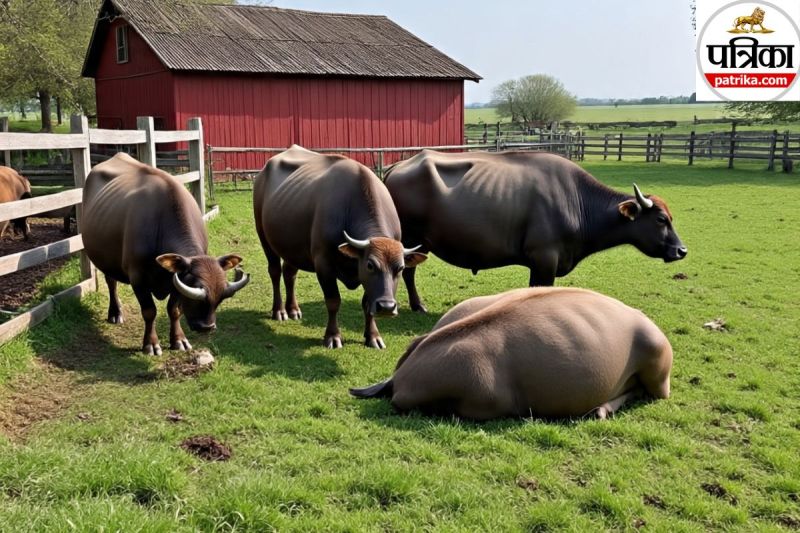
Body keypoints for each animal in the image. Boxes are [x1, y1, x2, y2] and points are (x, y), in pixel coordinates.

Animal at [82, 153, 250, 355]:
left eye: (220, 299)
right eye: (195, 298)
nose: (206, 327)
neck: (160, 226)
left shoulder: (176, 280)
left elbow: (174, 310)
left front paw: (179, 340)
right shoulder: (138, 278)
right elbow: (149, 312)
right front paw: (151, 344)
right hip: (106, 260)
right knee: (111, 283)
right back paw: (116, 313)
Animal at [253, 145, 427, 349]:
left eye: (400, 268)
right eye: (370, 265)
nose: (386, 307)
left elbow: (367, 304)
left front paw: (373, 336)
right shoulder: (324, 265)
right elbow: (333, 301)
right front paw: (333, 336)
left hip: (292, 248)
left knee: (290, 273)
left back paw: (293, 309)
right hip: (263, 236)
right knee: (274, 271)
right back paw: (279, 311)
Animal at [384, 150, 687, 312]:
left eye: (671, 217)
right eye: (661, 219)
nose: (681, 250)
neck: (577, 200)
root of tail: (400, 164)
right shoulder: (545, 258)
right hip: (411, 238)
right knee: (408, 271)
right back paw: (417, 305)